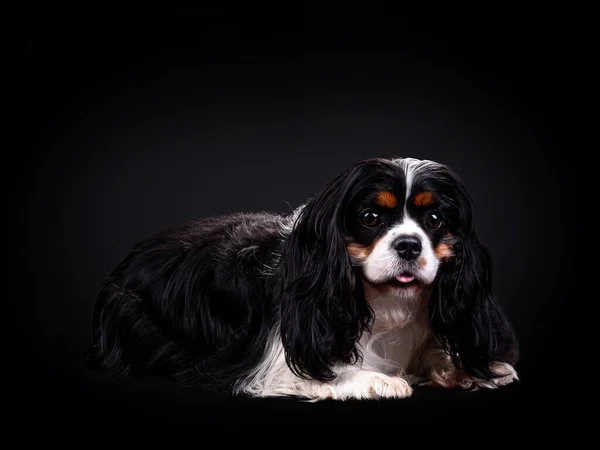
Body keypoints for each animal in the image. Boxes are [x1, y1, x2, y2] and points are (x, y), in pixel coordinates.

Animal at [86, 156, 516, 400]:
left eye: (435, 220)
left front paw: (466, 367)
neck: (380, 301)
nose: (410, 245)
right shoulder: (270, 365)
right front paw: (376, 380)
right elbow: (322, 369)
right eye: (370, 218)